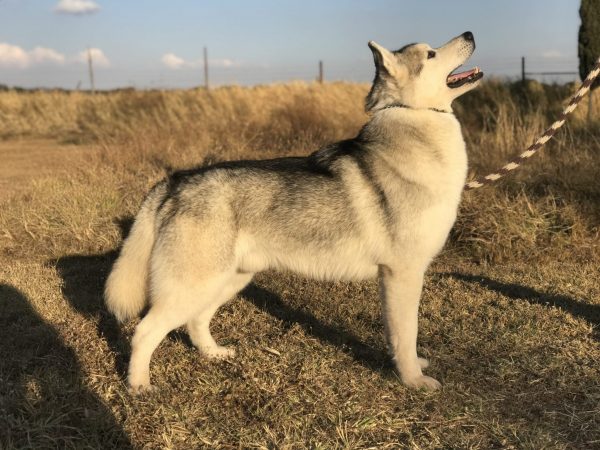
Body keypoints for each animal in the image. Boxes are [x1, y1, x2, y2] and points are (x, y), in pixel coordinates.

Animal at [106, 31, 482, 392]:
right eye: (431, 53)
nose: (469, 33)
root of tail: (176, 181)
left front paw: (415, 368)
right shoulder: (401, 275)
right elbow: (405, 335)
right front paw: (413, 380)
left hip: (229, 280)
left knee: (196, 321)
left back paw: (213, 354)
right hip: (196, 285)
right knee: (145, 332)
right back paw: (139, 385)